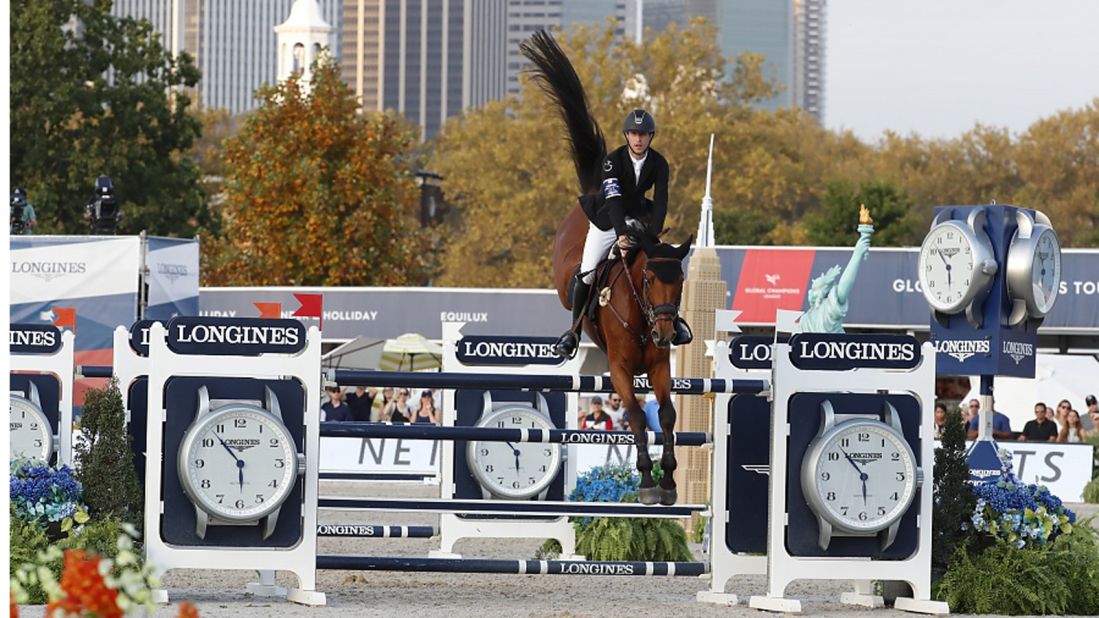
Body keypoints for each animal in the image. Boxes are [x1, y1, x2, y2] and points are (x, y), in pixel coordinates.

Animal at [518, 31, 690, 503]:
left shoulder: (660, 366)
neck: (641, 315)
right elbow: (635, 415)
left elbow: (666, 413)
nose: (665, 332)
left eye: (680, 282)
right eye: (648, 279)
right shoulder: (619, 370)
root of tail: (596, 188)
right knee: (579, 281)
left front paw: (670, 481)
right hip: (579, 258)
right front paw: (648, 483)